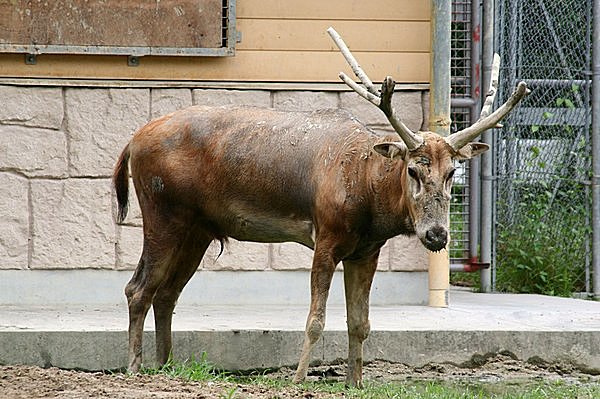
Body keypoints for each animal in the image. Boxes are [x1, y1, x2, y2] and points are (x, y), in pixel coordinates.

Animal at [111, 27, 524, 388]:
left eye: (453, 172)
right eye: (413, 170)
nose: (437, 235)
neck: (369, 199)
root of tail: (131, 143)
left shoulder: (366, 251)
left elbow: (361, 323)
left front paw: (356, 382)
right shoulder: (325, 236)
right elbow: (316, 320)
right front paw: (297, 378)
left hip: (197, 229)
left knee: (167, 293)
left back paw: (166, 365)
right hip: (161, 212)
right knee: (138, 288)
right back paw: (135, 367)